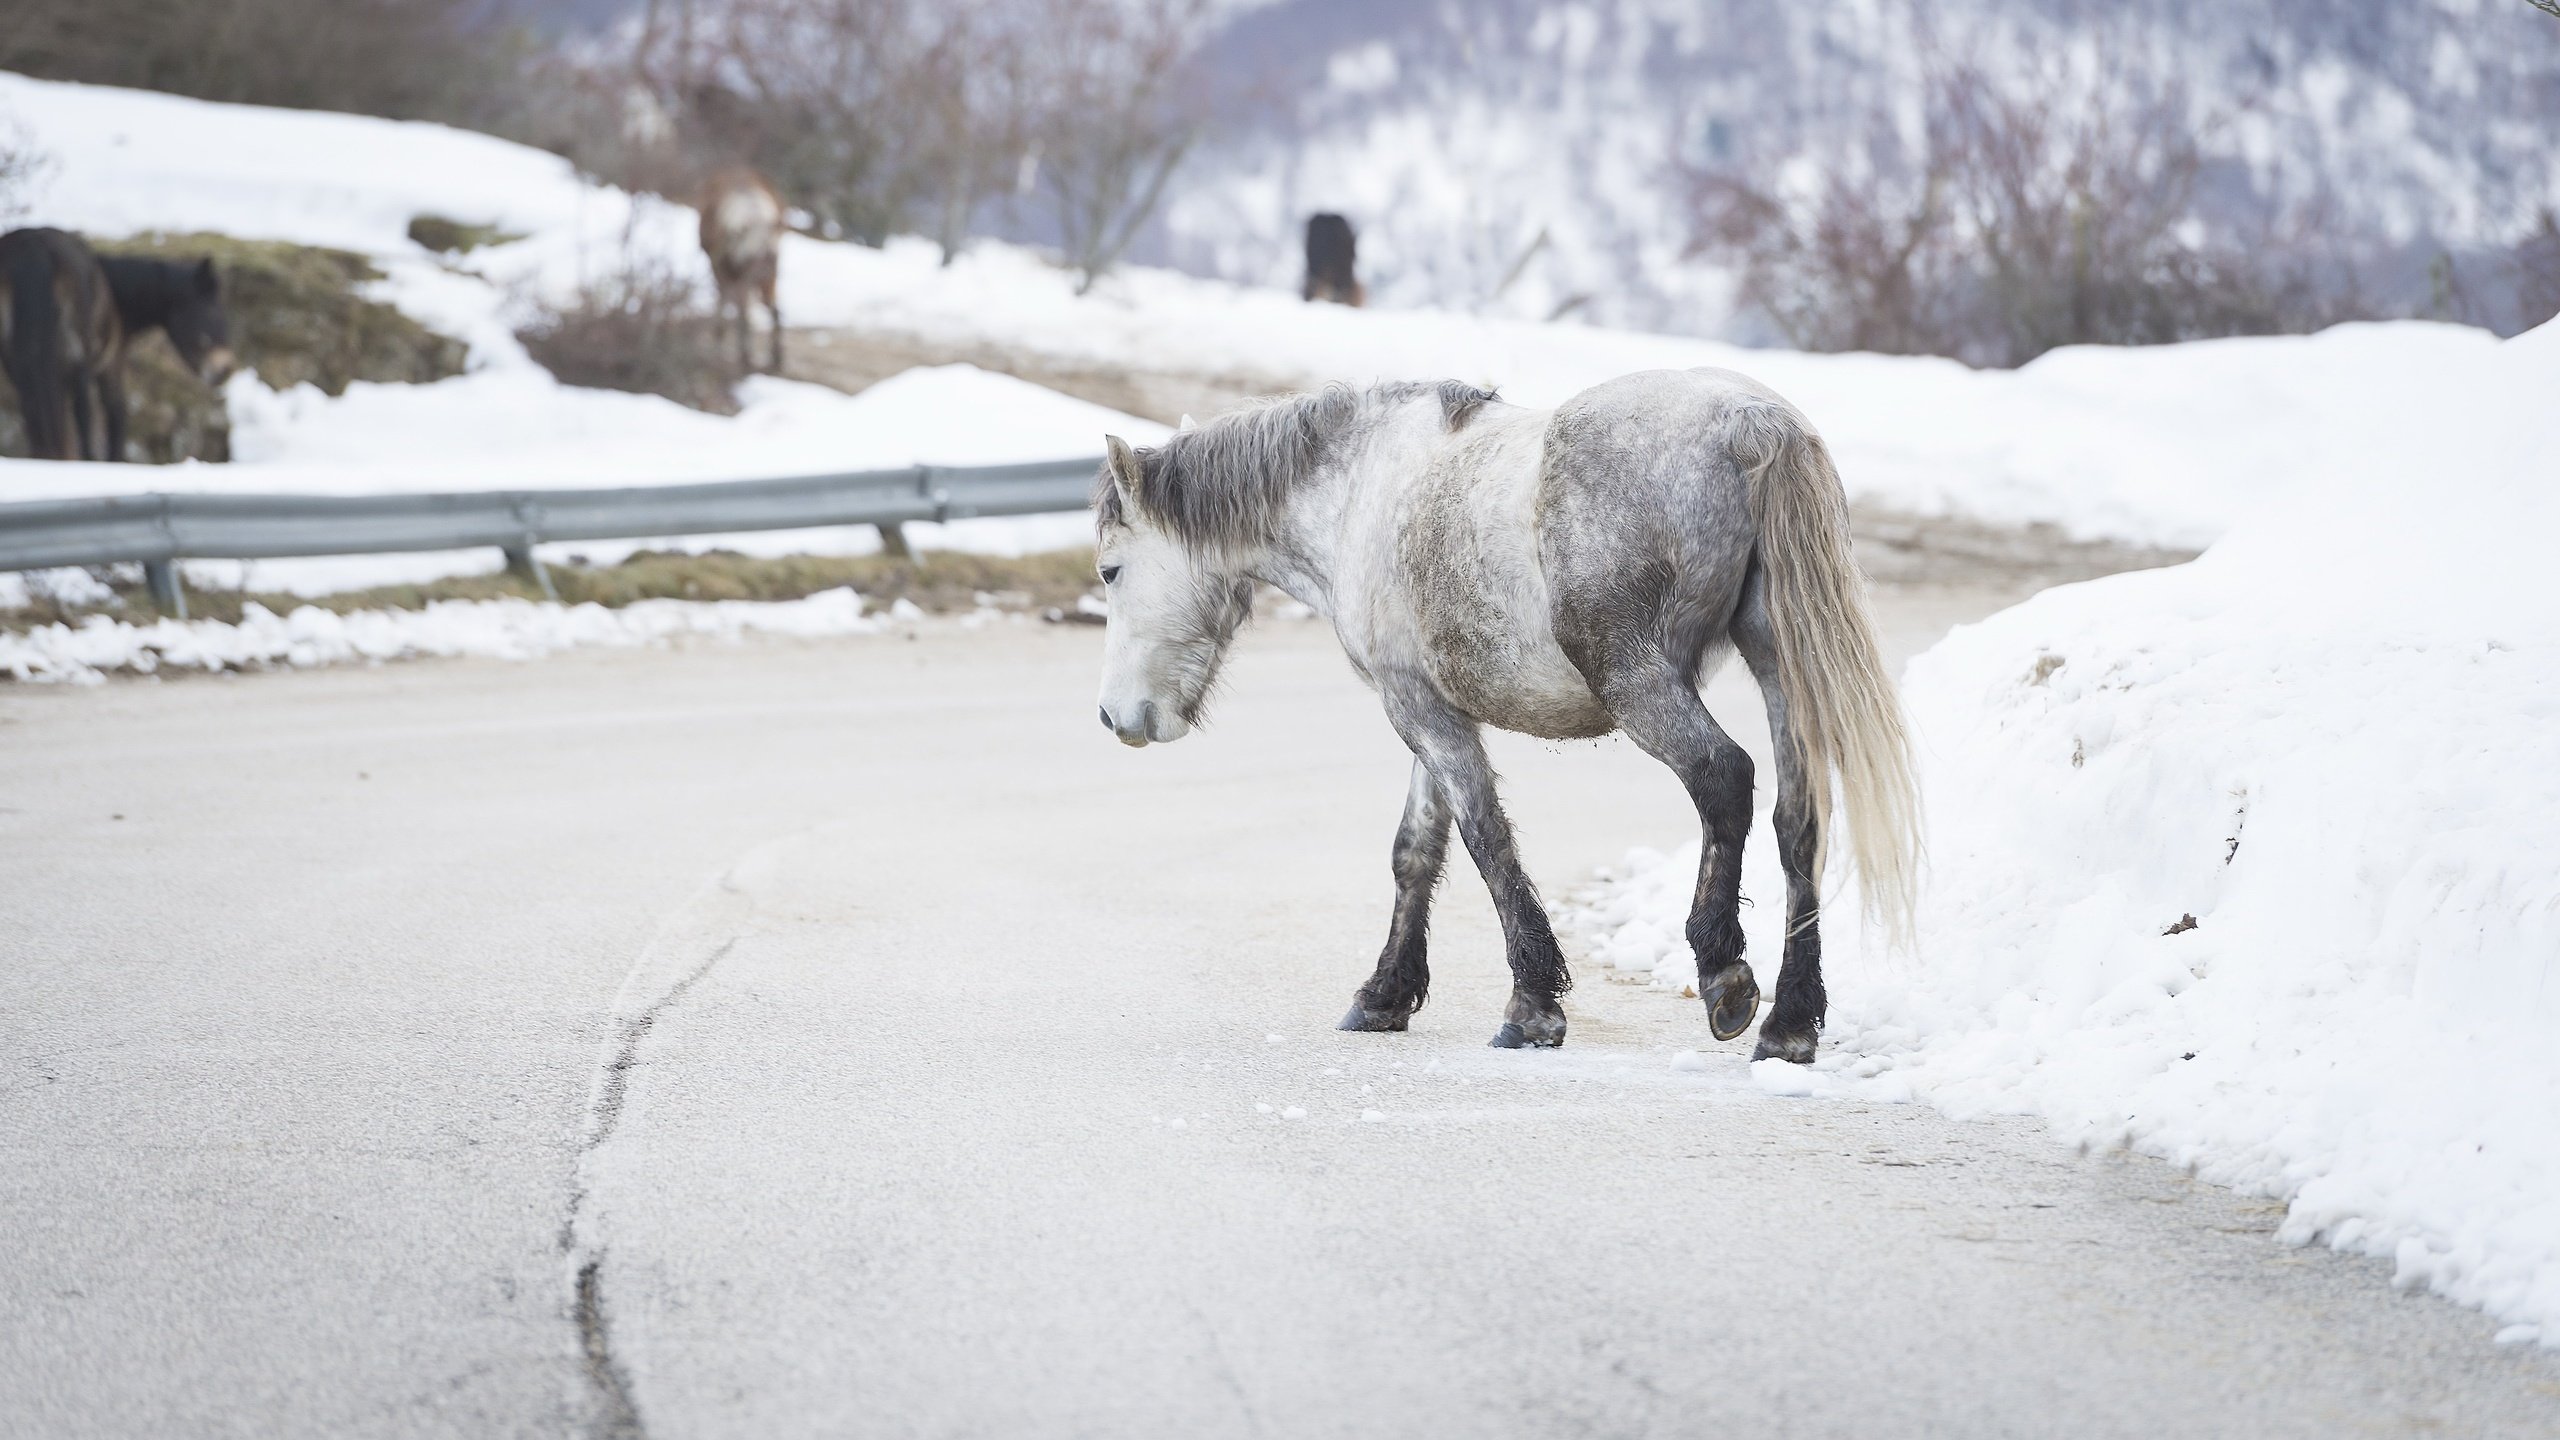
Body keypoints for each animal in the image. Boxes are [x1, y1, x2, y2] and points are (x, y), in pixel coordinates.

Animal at [696, 166, 783, 376]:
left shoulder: (721, 268)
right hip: (768, 277)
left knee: (745, 313)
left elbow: (723, 302)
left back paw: (745, 356)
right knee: (774, 310)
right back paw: (776, 358)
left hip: (744, 276)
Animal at [1090, 368, 1914, 1060]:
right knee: (1798, 817)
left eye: (1110, 570)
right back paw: (1790, 1021)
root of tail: (1751, 419)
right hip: (1778, 664)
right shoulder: (1431, 709)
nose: (1113, 716)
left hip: (1640, 681)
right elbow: (1416, 850)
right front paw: (1385, 994)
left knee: (1723, 778)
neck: (1358, 489)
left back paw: (1722, 970)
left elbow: (1486, 839)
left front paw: (1533, 1005)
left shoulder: (1416, 708)